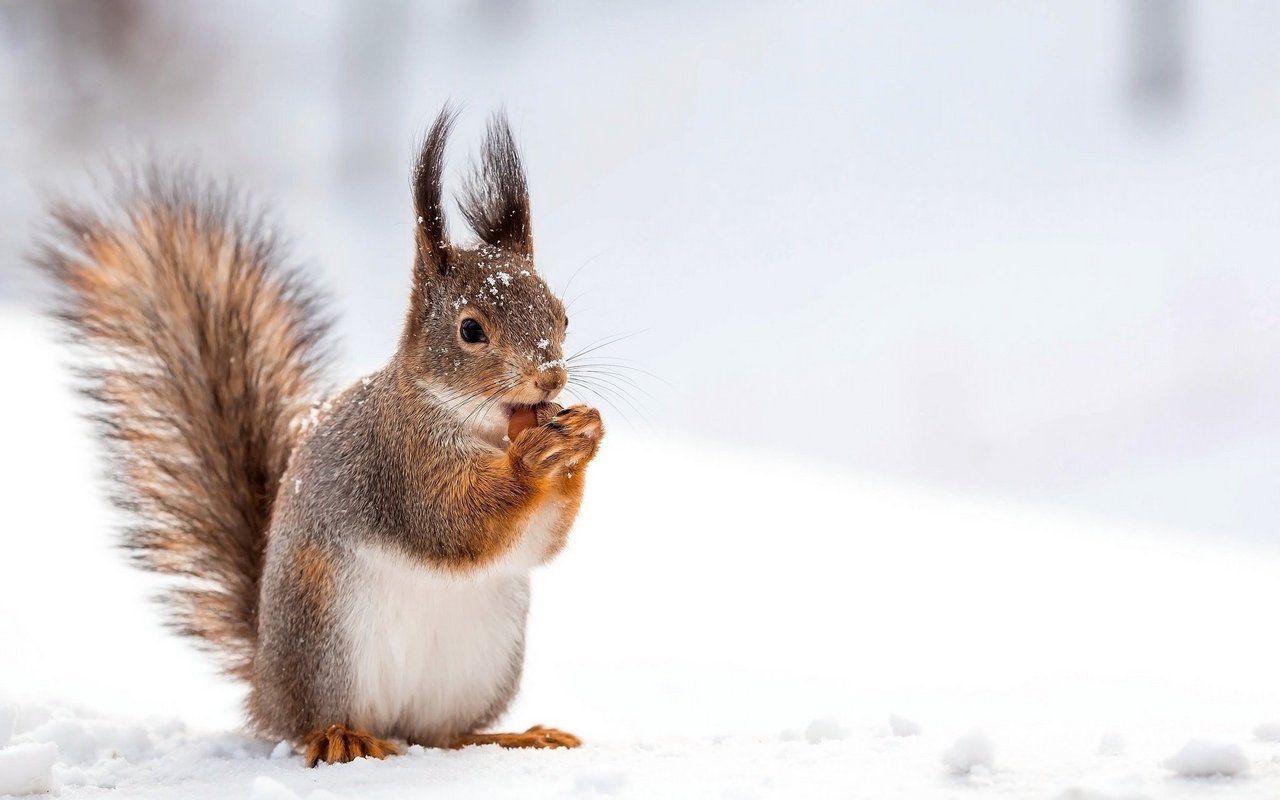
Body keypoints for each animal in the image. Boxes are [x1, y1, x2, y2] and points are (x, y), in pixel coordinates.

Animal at [35, 109, 604, 762]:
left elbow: (539, 544)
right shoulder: (397, 461)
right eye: (470, 330)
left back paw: (520, 736)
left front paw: (584, 436)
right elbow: (451, 521)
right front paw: (532, 462)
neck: (480, 427)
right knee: (318, 719)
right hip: (324, 640)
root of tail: (265, 686)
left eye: (562, 314)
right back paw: (340, 736)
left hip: (481, 662)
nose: (550, 375)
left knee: (444, 734)